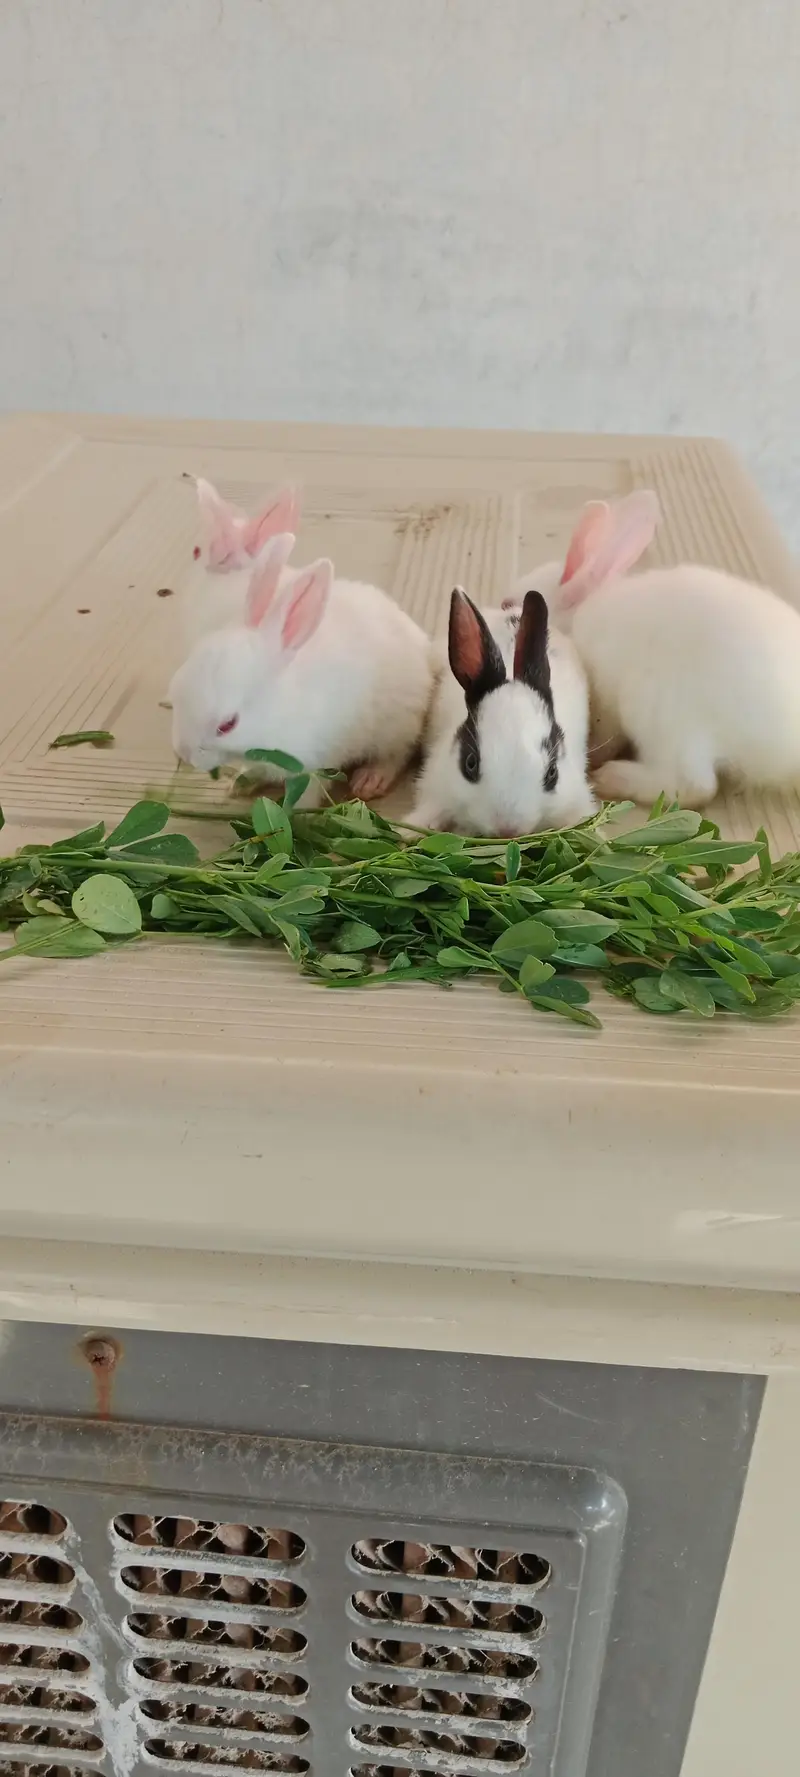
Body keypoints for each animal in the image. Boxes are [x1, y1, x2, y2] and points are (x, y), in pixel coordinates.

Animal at [169, 531, 434, 808]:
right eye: (175, 691)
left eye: (228, 725)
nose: (184, 753)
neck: (277, 710)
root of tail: (423, 646)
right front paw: (239, 784)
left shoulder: (313, 763)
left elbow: (309, 791)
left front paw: (296, 812)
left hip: (395, 725)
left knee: (397, 754)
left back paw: (371, 779)